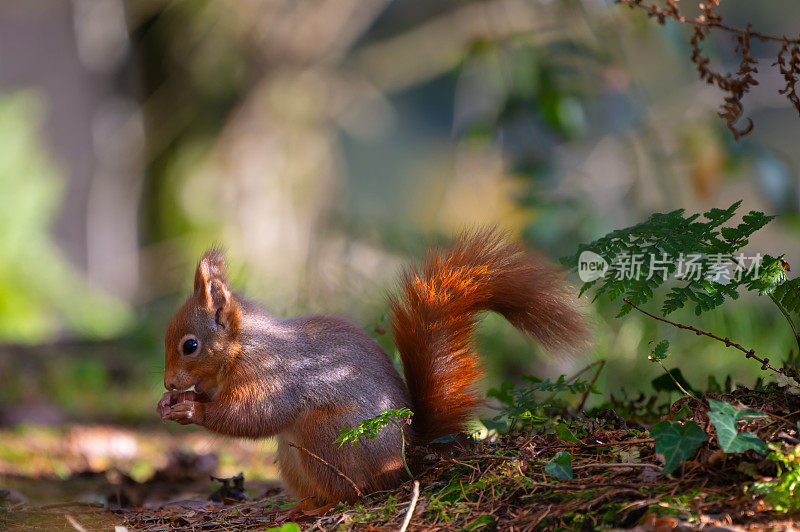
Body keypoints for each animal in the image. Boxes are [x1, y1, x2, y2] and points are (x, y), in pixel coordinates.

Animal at [159, 231, 592, 504]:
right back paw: (303, 505)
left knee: (356, 493)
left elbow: (254, 416)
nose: (167, 383)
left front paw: (191, 409)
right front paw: (173, 402)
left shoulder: (273, 375)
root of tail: (408, 455)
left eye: (190, 346)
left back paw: (322, 507)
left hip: (328, 438)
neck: (242, 348)